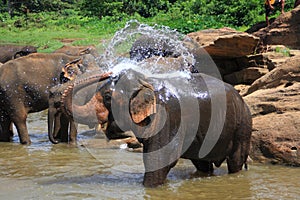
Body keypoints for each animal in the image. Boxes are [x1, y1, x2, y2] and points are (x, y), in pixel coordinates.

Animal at [61, 68, 253, 187]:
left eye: (108, 97)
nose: (108, 72)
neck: (145, 81)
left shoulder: (169, 115)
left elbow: (160, 158)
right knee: (202, 163)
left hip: (243, 126)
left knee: (235, 160)